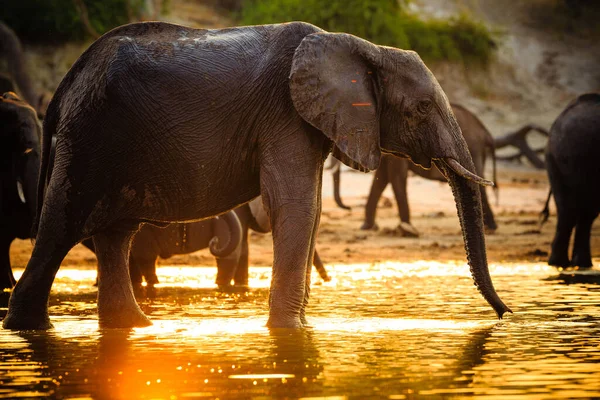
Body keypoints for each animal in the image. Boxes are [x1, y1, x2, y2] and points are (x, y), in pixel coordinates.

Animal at [330, 102, 494, 234]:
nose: (348, 207)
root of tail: (485, 132)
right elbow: (382, 179)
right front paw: (367, 227)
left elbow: (395, 178)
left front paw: (406, 228)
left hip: (474, 148)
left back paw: (490, 228)